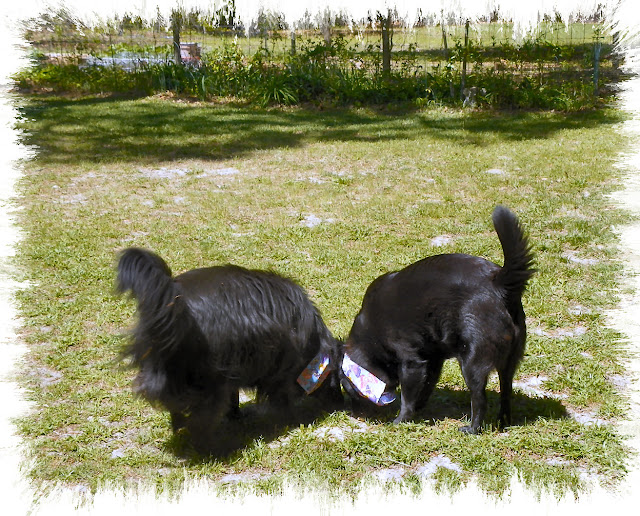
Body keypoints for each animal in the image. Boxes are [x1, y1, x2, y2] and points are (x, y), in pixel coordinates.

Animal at [116, 248, 342, 449]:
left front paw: (236, 417)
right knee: (201, 424)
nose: (338, 403)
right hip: (212, 384)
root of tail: (175, 303)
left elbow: (235, 398)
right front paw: (290, 420)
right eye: (336, 377)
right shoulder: (281, 374)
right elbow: (283, 400)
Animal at [341, 205, 535, 433]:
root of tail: (499, 284)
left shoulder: (412, 363)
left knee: (480, 399)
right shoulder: (432, 361)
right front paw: (418, 409)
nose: (353, 413)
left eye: (349, 390)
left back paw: (472, 428)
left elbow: (407, 397)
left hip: (472, 362)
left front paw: (401, 419)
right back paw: (503, 422)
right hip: (509, 363)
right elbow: (425, 388)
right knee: (506, 392)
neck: (370, 337)